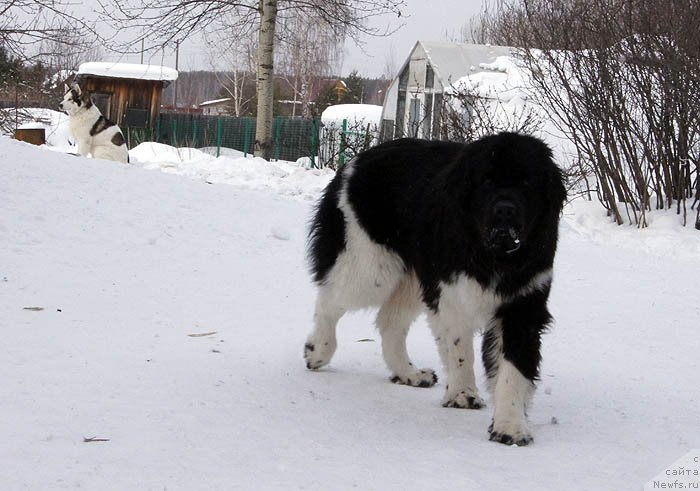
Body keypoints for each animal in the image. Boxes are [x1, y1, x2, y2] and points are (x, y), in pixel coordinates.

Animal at [304, 133, 568, 448]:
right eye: (487, 182)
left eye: (527, 183)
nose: (505, 209)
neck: (494, 255)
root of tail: (357, 160)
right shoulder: (450, 294)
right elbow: (459, 349)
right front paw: (463, 394)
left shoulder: (523, 306)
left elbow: (513, 370)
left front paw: (510, 426)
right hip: (369, 266)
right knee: (329, 301)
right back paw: (318, 351)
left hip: (411, 279)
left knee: (389, 321)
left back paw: (409, 373)